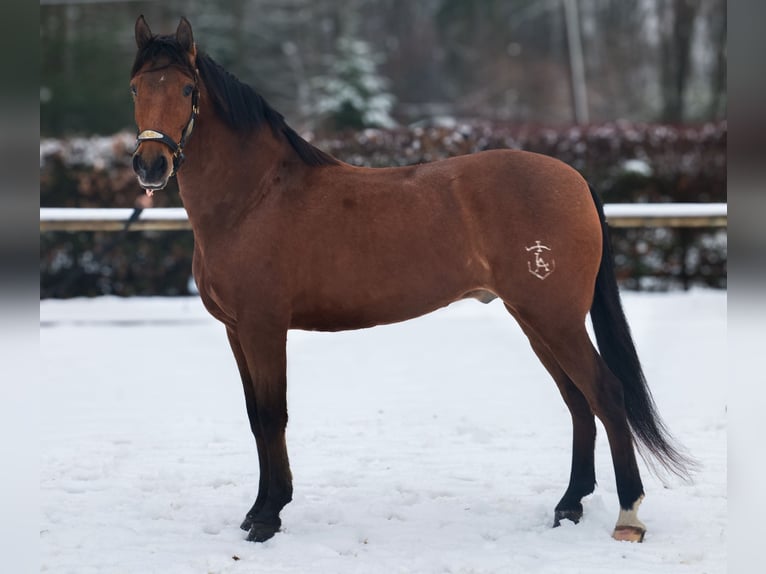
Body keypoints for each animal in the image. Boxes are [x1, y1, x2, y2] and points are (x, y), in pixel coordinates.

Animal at [130, 15, 692, 544]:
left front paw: (269, 518)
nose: (150, 165)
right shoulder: (236, 331)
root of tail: (573, 177)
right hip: (536, 320)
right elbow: (254, 417)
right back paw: (569, 505)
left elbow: (272, 416)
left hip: (556, 319)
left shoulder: (263, 328)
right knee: (578, 402)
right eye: (136, 87)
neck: (257, 196)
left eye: (187, 89)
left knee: (606, 394)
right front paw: (255, 512)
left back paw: (628, 516)